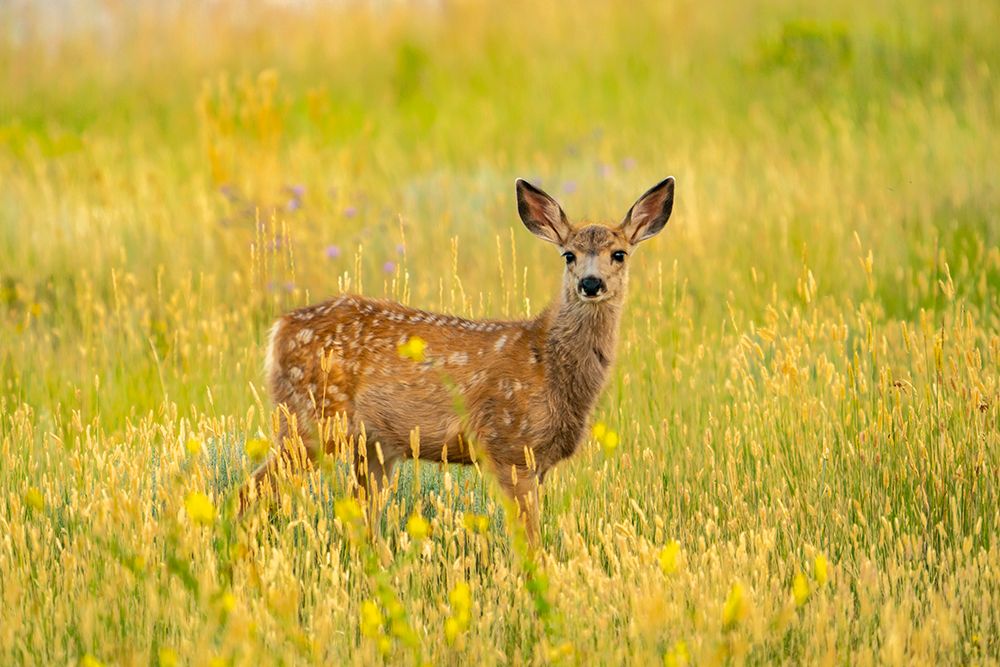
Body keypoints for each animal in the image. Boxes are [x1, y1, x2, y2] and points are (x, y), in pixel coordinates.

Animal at [236, 177, 675, 543]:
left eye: (619, 253)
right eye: (569, 255)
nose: (591, 283)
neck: (547, 362)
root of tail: (280, 329)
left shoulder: (538, 462)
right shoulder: (508, 446)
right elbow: (529, 542)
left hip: (371, 444)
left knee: (361, 520)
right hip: (309, 420)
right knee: (247, 491)